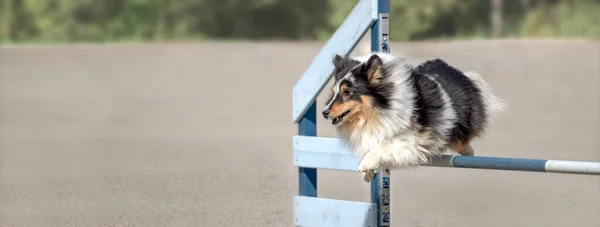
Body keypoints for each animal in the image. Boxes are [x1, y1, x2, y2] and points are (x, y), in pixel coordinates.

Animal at [324, 52, 506, 182]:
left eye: (347, 92)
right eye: (333, 92)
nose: (324, 112)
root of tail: (460, 73)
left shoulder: (413, 138)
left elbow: (383, 144)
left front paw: (366, 164)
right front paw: (368, 173)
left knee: (464, 137)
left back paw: (468, 151)